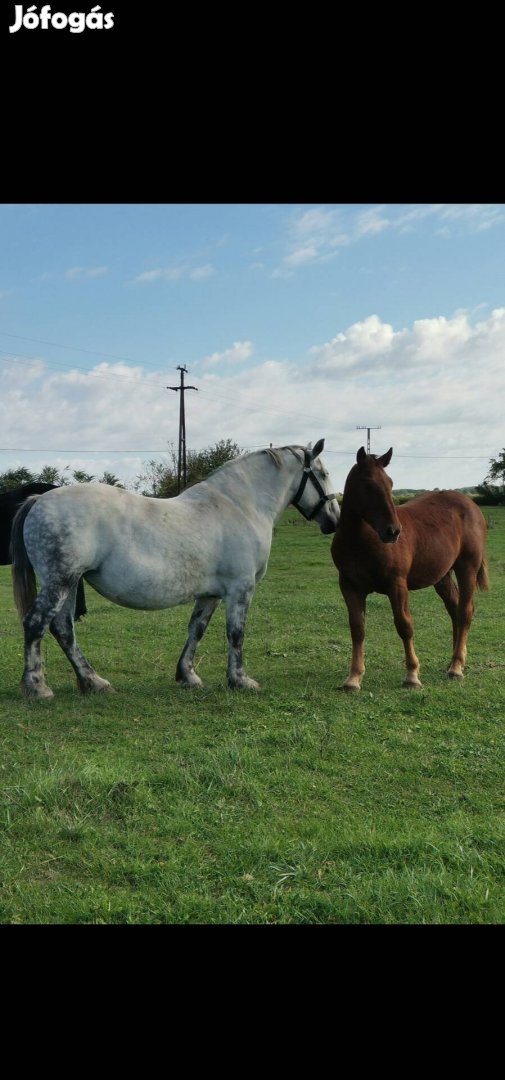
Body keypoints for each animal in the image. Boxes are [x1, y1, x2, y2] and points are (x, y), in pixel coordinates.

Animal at [10, 438, 338, 699]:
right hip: (60, 582)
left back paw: (94, 682)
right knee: (36, 624)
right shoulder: (240, 589)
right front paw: (240, 680)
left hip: (70, 583)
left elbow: (197, 629)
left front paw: (187, 676)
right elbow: (236, 633)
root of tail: (39, 499)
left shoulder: (210, 594)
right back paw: (38, 687)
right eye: (323, 474)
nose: (334, 519)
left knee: (63, 629)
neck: (239, 506)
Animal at [332, 449, 489, 691]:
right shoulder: (350, 586)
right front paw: (353, 678)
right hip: (442, 576)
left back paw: (456, 667)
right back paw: (454, 661)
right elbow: (357, 628)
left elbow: (404, 625)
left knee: (465, 611)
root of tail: (470, 505)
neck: (360, 541)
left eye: (390, 483)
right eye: (367, 485)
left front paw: (412, 675)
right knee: (454, 609)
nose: (393, 531)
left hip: (467, 567)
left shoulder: (397, 585)